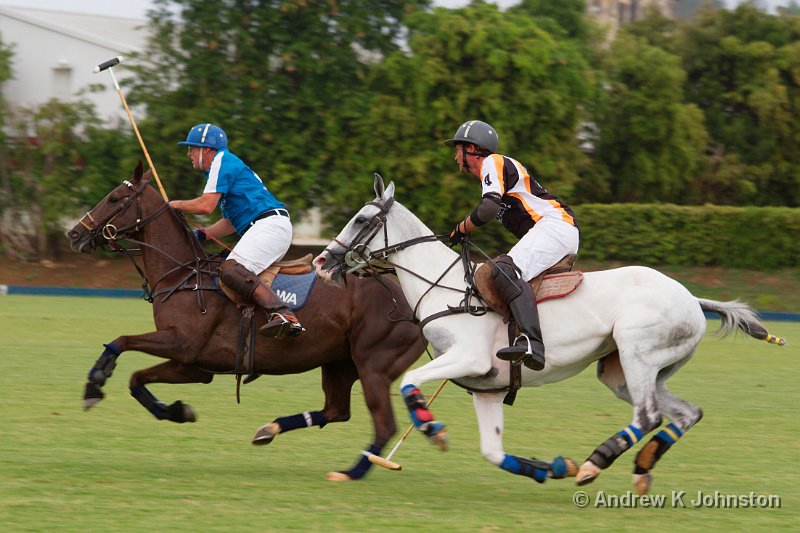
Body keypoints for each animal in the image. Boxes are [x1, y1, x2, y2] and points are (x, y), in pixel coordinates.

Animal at [64, 161, 424, 478]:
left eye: (114, 198)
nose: (74, 234)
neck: (182, 275)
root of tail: (411, 299)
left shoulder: (181, 343)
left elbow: (122, 341)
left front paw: (95, 381)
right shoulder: (193, 365)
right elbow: (136, 379)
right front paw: (178, 411)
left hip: (373, 365)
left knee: (384, 424)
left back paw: (352, 472)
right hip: (339, 363)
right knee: (337, 410)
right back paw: (270, 429)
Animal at [310, 176, 780, 494]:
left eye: (362, 219)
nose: (321, 262)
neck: (444, 287)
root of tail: (693, 299)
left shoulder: (469, 358)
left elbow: (409, 382)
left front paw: (431, 427)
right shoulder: (486, 387)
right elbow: (493, 452)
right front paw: (549, 468)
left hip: (637, 352)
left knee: (648, 416)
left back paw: (595, 463)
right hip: (626, 372)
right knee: (685, 414)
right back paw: (641, 468)